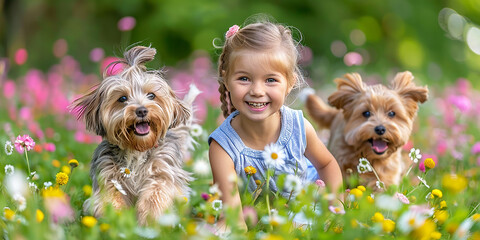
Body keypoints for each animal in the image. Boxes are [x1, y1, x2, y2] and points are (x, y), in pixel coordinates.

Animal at [69, 46, 199, 224]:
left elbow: (155, 195)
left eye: (151, 95)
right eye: (122, 98)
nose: (142, 110)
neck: (137, 148)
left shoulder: (162, 172)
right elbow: (112, 199)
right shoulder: (109, 175)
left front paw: (150, 220)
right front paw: (116, 220)